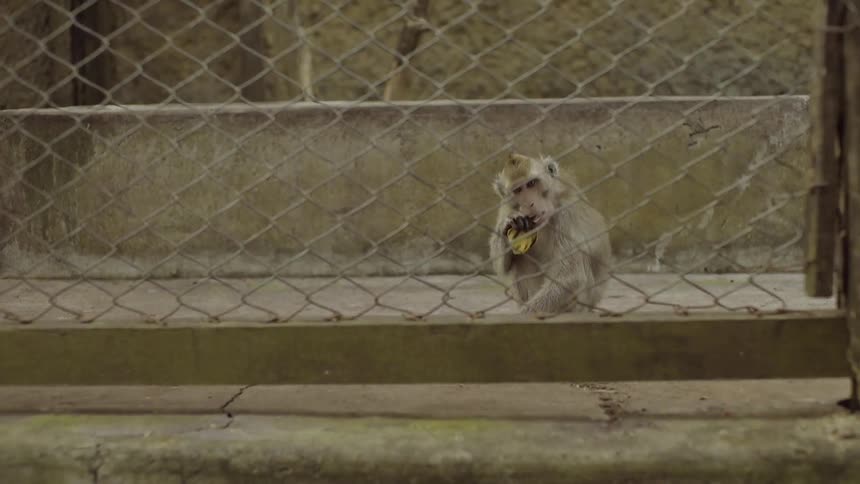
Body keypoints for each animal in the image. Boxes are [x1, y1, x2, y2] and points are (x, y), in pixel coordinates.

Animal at [488, 152, 612, 314]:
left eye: (531, 183)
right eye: (518, 190)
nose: (529, 204)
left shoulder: (567, 212)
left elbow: (570, 277)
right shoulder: (507, 206)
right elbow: (502, 267)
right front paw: (507, 224)